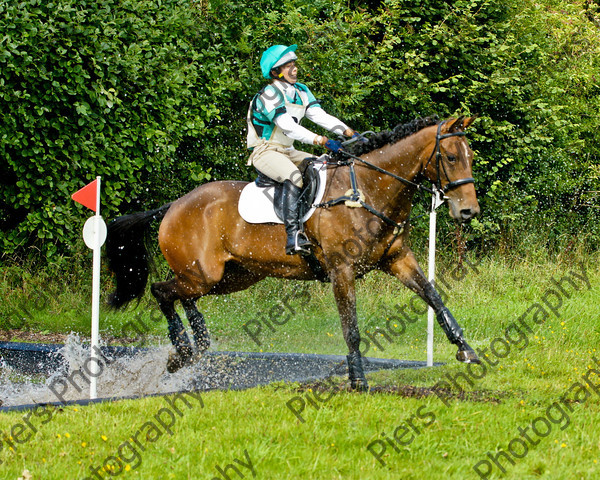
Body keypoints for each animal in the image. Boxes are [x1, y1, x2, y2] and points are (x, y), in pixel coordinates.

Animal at [105, 115, 482, 390]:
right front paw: (358, 379)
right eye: (451, 157)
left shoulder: (397, 259)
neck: (368, 189)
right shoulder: (341, 270)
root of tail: (173, 205)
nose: (468, 212)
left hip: (230, 277)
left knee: (181, 294)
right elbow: (351, 327)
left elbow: (433, 296)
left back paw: (194, 345)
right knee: (161, 291)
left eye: (471, 158)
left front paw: (465, 349)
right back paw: (182, 352)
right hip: (204, 274)